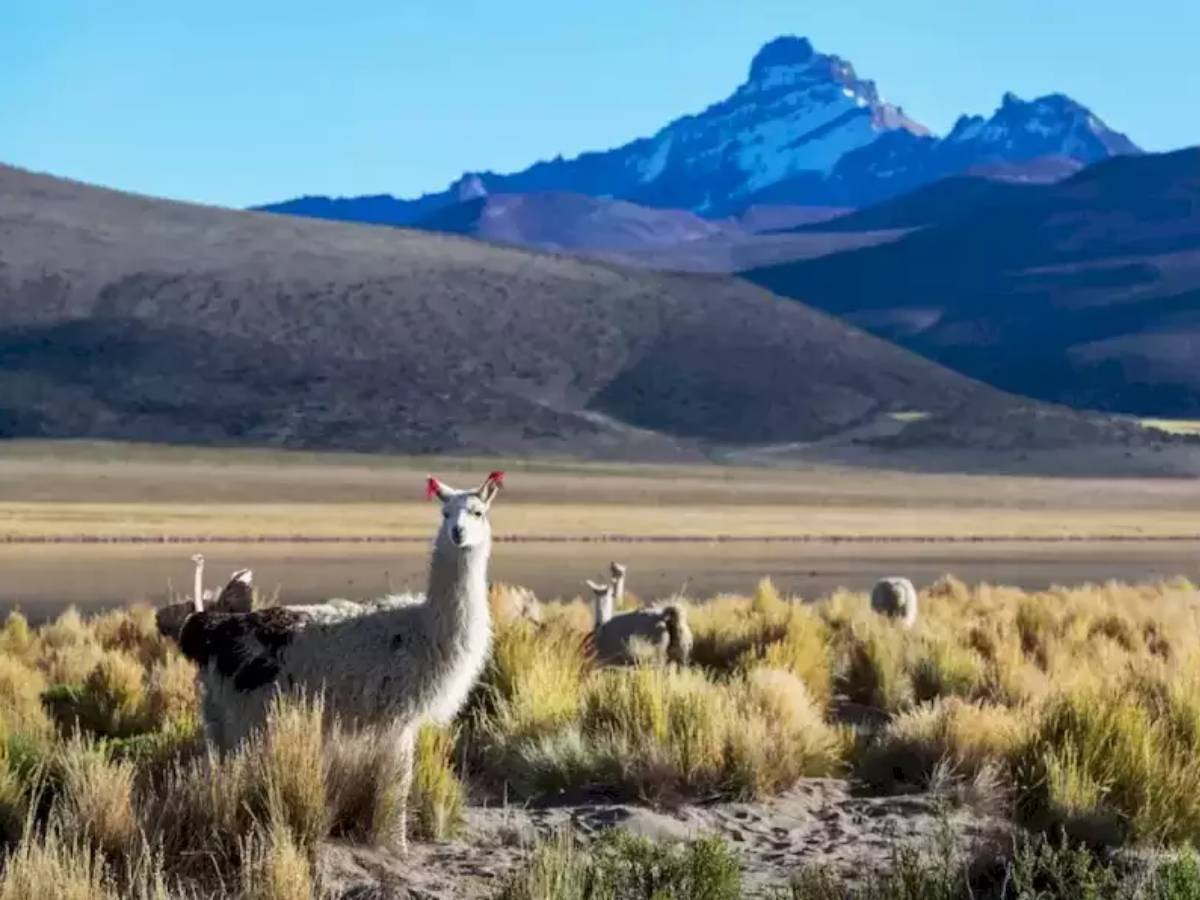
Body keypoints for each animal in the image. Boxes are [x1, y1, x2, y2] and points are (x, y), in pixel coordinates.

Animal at [174, 471, 504, 849]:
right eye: (445, 513)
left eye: (478, 512)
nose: (458, 533)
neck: (422, 629)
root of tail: (207, 628)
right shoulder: (398, 715)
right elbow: (399, 782)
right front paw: (397, 843)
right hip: (246, 712)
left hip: (219, 714)